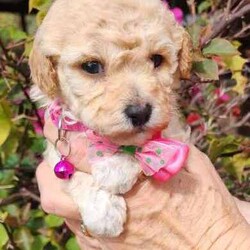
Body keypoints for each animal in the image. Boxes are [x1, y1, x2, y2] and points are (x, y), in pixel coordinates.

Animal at [29, 0, 191, 238]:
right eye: (91, 66)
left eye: (157, 59)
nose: (140, 112)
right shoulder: (58, 144)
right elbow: (71, 172)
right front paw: (104, 215)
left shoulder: (174, 128)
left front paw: (116, 166)